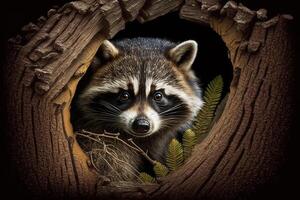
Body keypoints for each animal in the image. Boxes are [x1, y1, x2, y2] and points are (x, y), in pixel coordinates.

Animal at [72, 37, 204, 181]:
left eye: (158, 95)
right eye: (125, 95)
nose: (141, 125)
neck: (139, 139)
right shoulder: (97, 136)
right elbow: (107, 161)